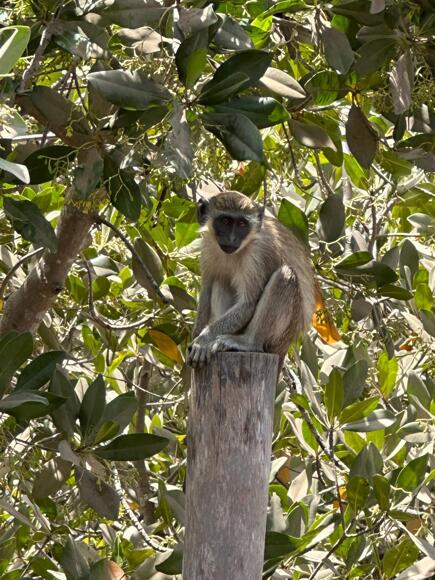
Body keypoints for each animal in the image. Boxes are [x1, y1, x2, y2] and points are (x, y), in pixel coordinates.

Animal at [187, 191, 316, 370]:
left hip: (281, 334)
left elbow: (247, 304)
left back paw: (249, 342)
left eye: (242, 224)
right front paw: (197, 335)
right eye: (225, 221)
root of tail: (288, 342)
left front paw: (202, 340)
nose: (232, 239)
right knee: (220, 280)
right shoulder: (207, 248)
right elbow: (206, 290)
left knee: (284, 275)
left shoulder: (258, 254)